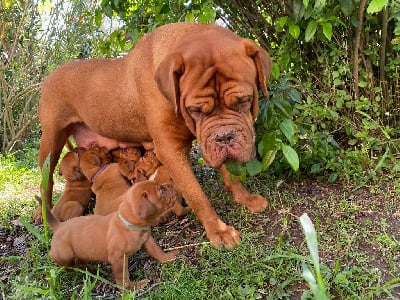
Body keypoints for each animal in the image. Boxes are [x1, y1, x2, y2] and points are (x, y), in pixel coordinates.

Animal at [36, 22, 272, 250]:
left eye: (244, 100)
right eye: (195, 110)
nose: (224, 136)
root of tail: (48, 77)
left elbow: (230, 174)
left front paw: (245, 198)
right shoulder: (170, 151)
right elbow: (196, 194)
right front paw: (218, 231)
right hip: (50, 142)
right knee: (46, 181)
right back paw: (42, 214)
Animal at [39, 180, 180, 290]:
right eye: (161, 191)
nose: (170, 183)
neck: (131, 226)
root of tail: (59, 226)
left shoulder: (147, 241)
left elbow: (157, 251)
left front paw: (168, 257)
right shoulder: (118, 259)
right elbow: (123, 277)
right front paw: (132, 287)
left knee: (79, 261)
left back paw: (90, 268)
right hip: (64, 254)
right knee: (66, 264)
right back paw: (78, 269)